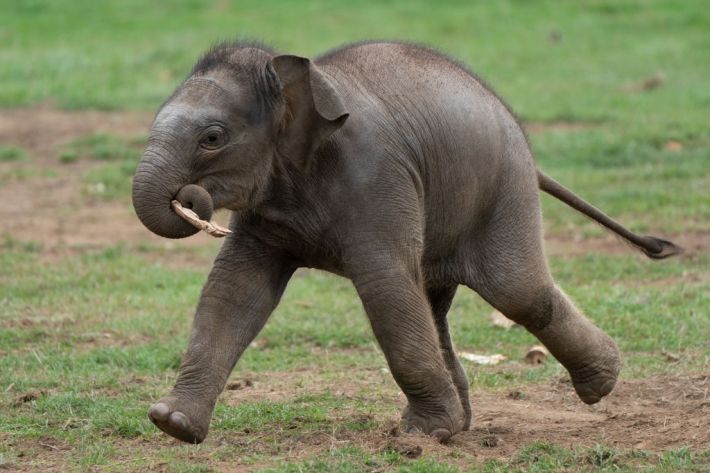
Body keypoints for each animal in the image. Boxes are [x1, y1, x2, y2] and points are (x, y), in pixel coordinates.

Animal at [131, 39, 680, 442]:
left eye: (212, 137)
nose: (192, 199)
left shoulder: (376, 177)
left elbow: (385, 284)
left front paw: (421, 436)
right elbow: (235, 289)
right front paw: (173, 425)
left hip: (503, 191)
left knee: (517, 291)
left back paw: (598, 384)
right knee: (435, 302)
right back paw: (462, 425)